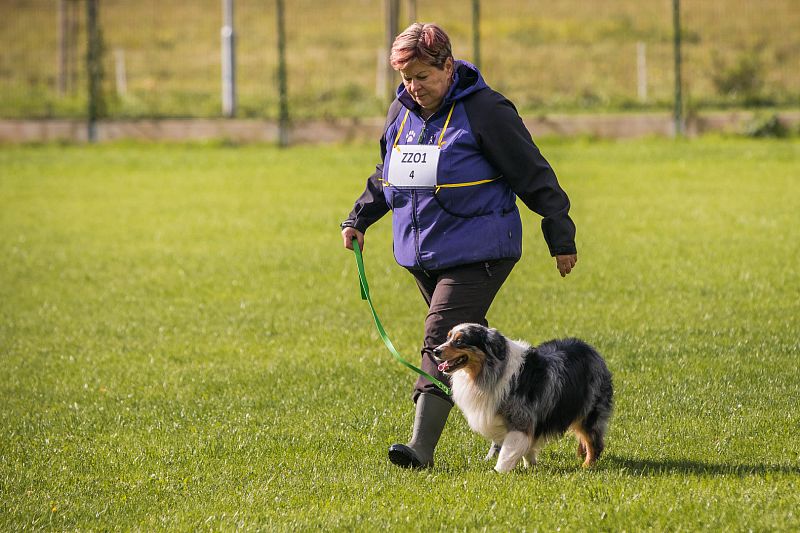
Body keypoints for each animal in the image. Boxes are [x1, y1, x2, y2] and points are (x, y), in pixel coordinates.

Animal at [432, 322, 612, 472]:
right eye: (448, 337)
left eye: (460, 341)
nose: (435, 351)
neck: (491, 370)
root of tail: (591, 349)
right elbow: (527, 447)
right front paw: (530, 466)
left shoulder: (520, 419)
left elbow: (508, 450)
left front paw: (497, 472)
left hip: (589, 411)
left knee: (594, 442)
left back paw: (586, 466)